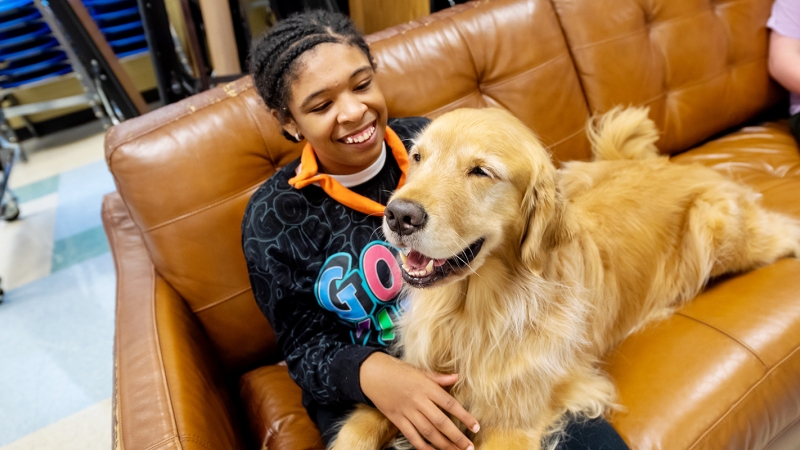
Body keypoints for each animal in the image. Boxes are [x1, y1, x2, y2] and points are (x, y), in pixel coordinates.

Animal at [326, 108, 800, 450]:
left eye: (480, 171)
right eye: (418, 158)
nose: (398, 215)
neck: (472, 311)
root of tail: (675, 164)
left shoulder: (513, 421)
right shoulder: (414, 381)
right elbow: (361, 425)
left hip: (718, 228)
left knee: (779, 229)